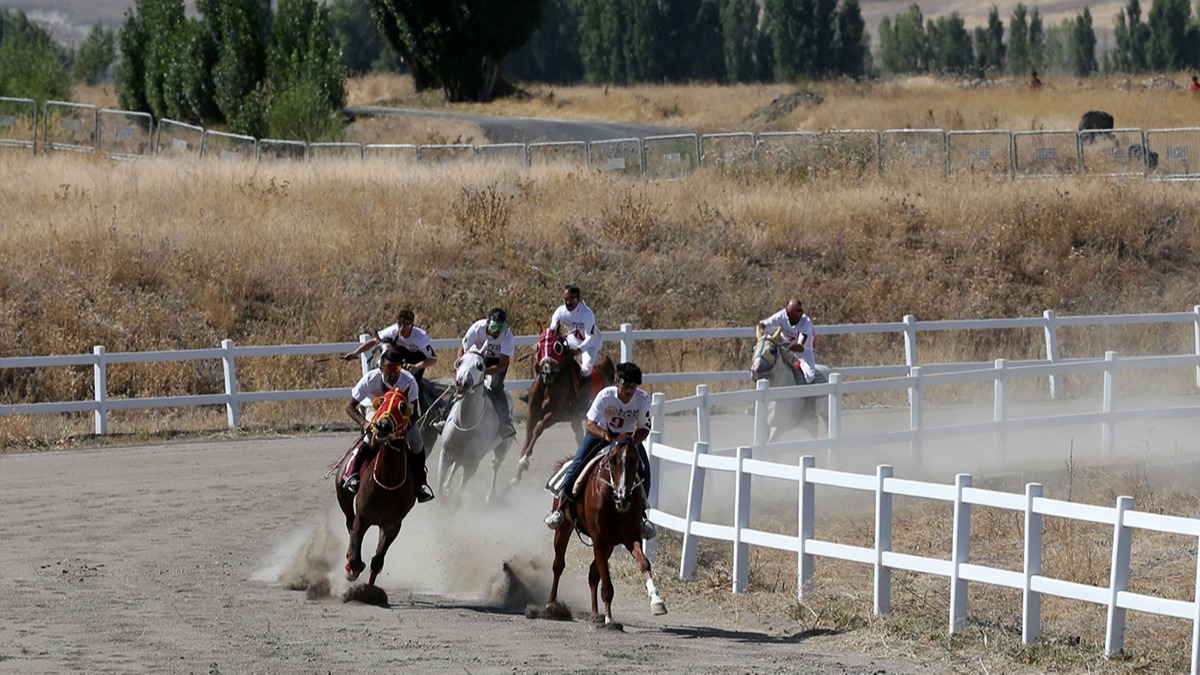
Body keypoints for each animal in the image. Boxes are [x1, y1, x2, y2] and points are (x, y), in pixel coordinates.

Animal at [333, 386, 417, 586]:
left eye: (403, 406)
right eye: (381, 401)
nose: (383, 426)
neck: (387, 481)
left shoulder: (393, 525)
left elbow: (377, 561)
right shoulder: (362, 518)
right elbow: (356, 557)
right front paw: (351, 569)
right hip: (344, 497)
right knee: (349, 522)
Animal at [436, 353, 511, 499]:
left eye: (480, 365)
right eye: (459, 362)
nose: (462, 383)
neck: (465, 423)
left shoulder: (472, 465)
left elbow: (459, 493)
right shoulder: (445, 454)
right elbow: (439, 487)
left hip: (503, 449)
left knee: (495, 465)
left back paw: (491, 495)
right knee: (456, 465)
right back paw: (447, 485)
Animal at [513, 326, 614, 480]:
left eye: (558, 347)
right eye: (538, 347)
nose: (547, 372)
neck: (549, 386)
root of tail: (604, 370)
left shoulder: (555, 414)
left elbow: (538, 429)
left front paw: (524, 461)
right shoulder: (532, 412)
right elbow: (528, 436)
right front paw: (517, 474)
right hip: (576, 419)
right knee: (579, 437)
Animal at [544, 439, 667, 624]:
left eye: (635, 460)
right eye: (612, 460)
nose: (623, 497)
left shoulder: (630, 537)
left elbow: (644, 562)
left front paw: (657, 602)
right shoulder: (599, 540)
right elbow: (607, 584)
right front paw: (609, 620)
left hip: (609, 545)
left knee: (592, 574)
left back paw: (595, 613)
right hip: (564, 527)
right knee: (558, 565)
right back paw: (551, 605)